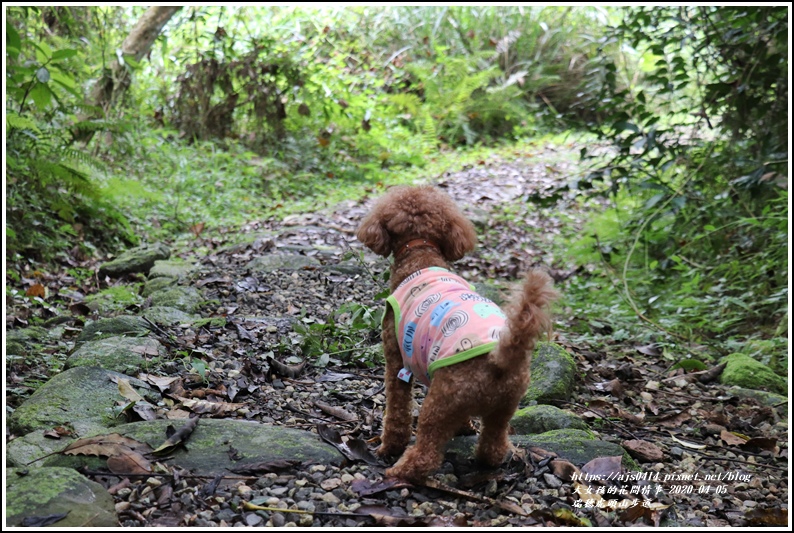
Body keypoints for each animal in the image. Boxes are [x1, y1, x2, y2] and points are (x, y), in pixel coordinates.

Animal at [356, 184, 552, 482]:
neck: (420, 253)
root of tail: (499, 360)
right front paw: (464, 428)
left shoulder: (396, 360)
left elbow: (397, 411)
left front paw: (388, 446)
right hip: (505, 407)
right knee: (494, 445)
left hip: (440, 402)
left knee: (426, 453)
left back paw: (399, 470)